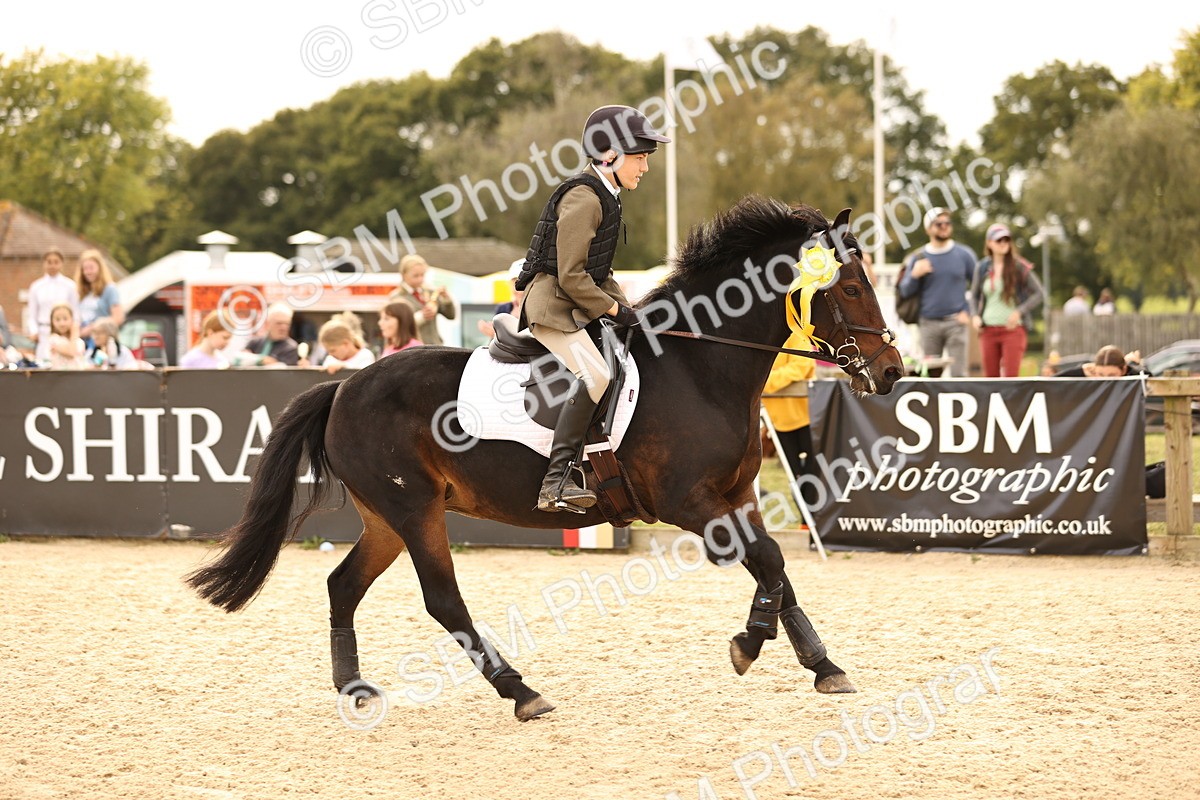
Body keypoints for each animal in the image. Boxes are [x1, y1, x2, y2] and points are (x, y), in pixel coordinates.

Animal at [186, 196, 905, 721]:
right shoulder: (689, 503)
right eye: (850, 289)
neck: (701, 365)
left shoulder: (737, 498)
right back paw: (521, 692)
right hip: (414, 511)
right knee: (443, 602)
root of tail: (344, 386)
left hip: (386, 518)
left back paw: (354, 688)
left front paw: (824, 666)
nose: (894, 372)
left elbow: (777, 573)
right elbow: (771, 563)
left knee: (343, 585)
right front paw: (748, 646)